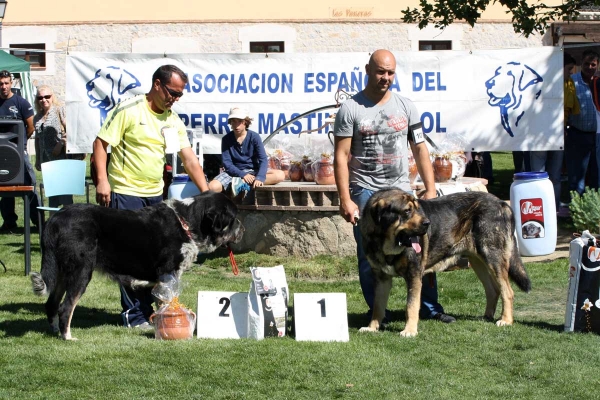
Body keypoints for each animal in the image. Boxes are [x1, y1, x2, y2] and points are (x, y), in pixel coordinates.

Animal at [31, 192, 244, 340]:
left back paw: (54, 331)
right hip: (81, 272)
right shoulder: (168, 275)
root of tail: (56, 218)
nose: (243, 230)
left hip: (60, 273)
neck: (187, 224)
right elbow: (167, 303)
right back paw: (67, 336)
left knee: (51, 304)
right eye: (234, 218)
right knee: (65, 307)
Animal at [358, 189, 528, 336]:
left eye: (417, 209)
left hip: (493, 257)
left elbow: (411, 306)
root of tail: (501, 202)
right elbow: (377, 306)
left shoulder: (413, 275)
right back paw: (486, 317)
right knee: (493, 290)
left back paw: (506, 320)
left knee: (507, 291)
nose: (427, 223)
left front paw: (410, 331)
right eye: (407, 211)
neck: (384, 244)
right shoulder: (381, 278)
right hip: (478, 261)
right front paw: (372, 328)